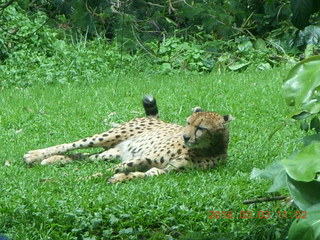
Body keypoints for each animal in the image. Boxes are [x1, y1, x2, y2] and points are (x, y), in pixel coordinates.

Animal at [22, 95, 232, 182]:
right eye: (188, 122)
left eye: (201, 128)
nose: (185, 136)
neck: (206, 149)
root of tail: (153, 118)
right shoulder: (144, 158)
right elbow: (109, 171)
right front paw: (81, 179)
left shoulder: (164, 169)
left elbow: (145, 174)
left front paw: (119, 179)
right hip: (108, 136)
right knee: (70, 145)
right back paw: (35, 155)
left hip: (113, 152)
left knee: (85, 156)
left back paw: (53, 160)